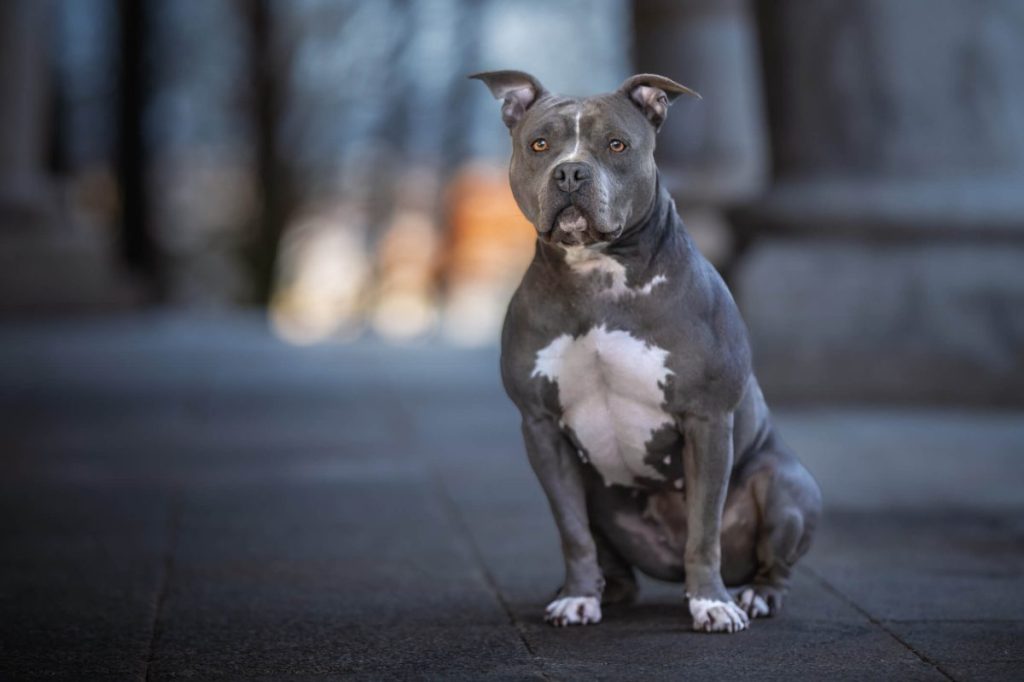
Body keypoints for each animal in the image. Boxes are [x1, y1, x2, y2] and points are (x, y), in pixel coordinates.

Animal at [473, 70, 823, 630]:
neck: (597, 274)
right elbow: (571, 530)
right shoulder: (541, 427)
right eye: (540, 144)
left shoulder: (707, 420)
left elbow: (704, 531)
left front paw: (712, 604)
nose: (570, 173)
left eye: (617, 144)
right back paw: (598, 592)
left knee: (772, 558)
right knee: (612, 560)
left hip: (786, 484)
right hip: (596, 489)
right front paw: (578, 596)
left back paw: (753, 595)